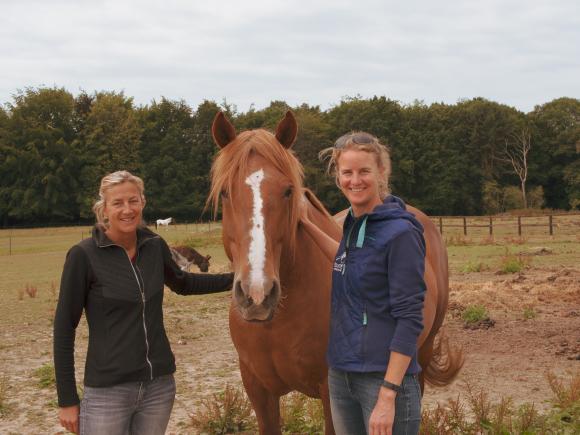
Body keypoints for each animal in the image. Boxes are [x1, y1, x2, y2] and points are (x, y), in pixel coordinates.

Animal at [208, 111, 462, 435]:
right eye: (225, 192)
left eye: (288, 191)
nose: (257, 295)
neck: (279, 322)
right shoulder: (258, 389)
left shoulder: (331, 393)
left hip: (421, 353)